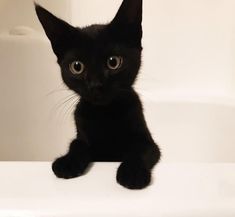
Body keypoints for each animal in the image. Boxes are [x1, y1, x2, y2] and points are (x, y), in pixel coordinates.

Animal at [35, 0, 161, 189]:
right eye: (77, 66)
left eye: (113, 62)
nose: (95, 85)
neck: (104, 114)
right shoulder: (81, 133)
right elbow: (77, 145)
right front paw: (67, 162)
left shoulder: (148, 142)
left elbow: (138, 151)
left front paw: (132, 173)